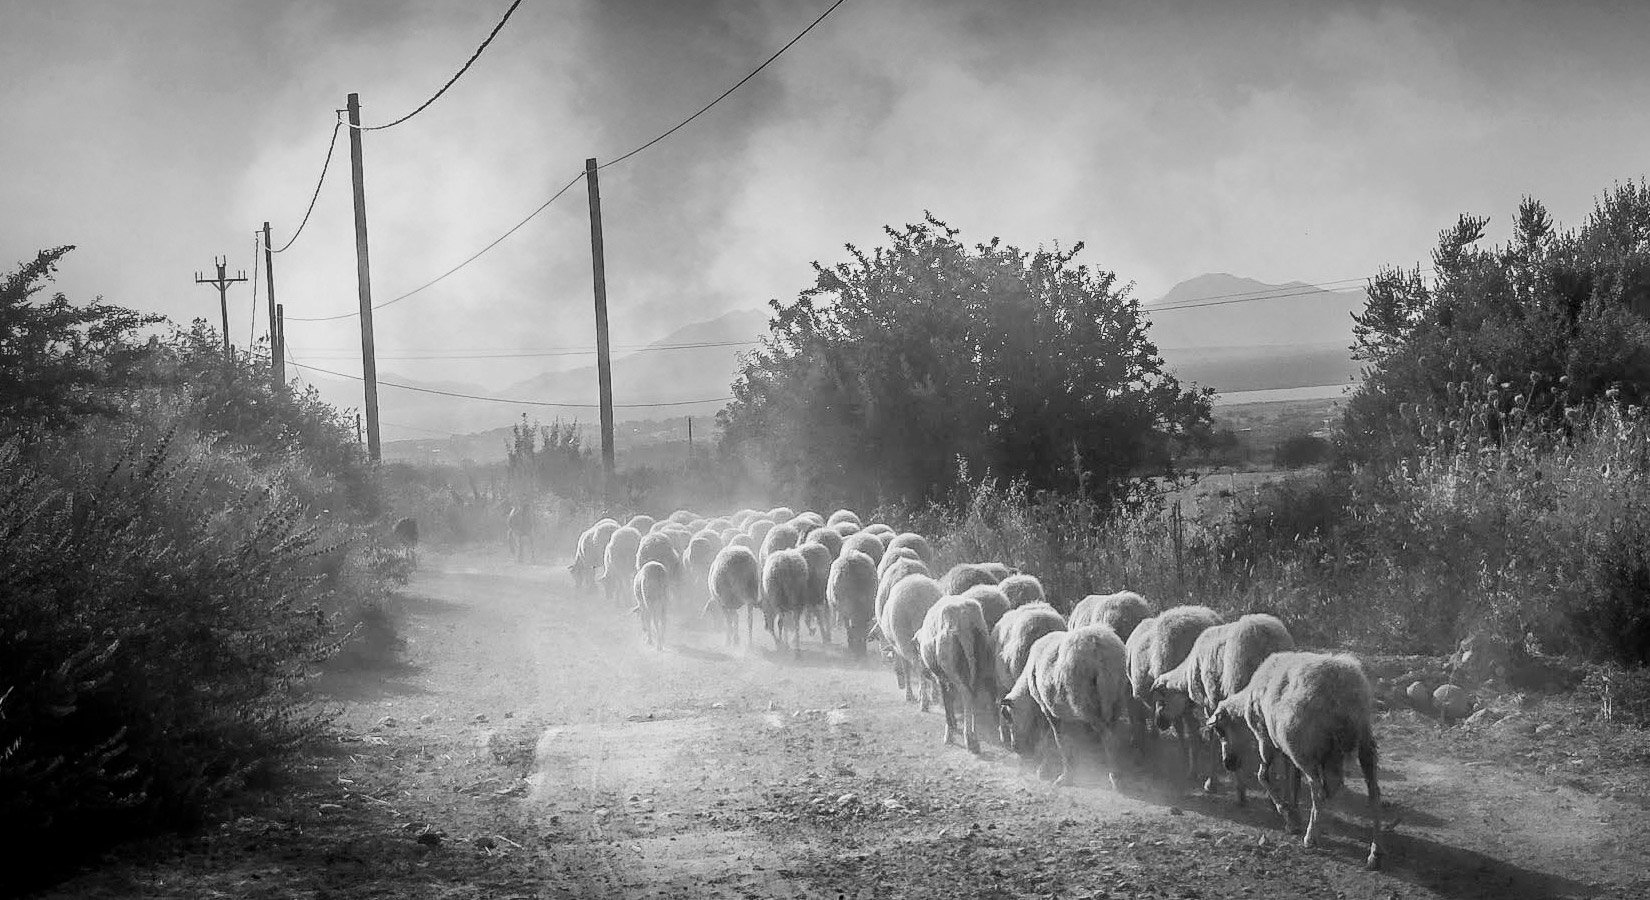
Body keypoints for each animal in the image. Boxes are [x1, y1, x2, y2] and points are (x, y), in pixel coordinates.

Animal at [877, 571, 943, 706]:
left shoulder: (898, 647)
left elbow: (906, 669)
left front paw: (910, 694)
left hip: (904, 639)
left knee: (919, 665)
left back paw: (924, 699)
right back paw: (934, 695)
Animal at [917, 597, 990, 749]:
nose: (922, 670)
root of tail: (964, 617)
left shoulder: (942, 678)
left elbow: (947, 701)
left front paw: (949, 733)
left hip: (950, 667)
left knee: (967, 694)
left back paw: (969, 738)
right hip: (979, 663)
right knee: (974, 694)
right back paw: (974, 737)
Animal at [996, 624, 1128, 786]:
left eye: (1009, 718)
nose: (1016, 748)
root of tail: (1098, 645)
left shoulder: (1046, 708)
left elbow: (1053, 739)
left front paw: (1048, 770)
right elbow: (1068, 740)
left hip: (1086, 703)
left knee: (1108, 737)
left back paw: (1114, 778)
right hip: (1116, 698)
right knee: (1115, 735)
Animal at [1155, 611, 1293, 799]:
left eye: (1162, 698)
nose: (1158, 722)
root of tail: (1267, 637)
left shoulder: (1211, 702)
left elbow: (1215, 738)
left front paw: (1211, 782)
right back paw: (1286, 795)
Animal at [1207, 650, 1386, 865]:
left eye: (1220, 730)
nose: (1228, 763)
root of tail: (1342, 690)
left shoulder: (1266, 739)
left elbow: (1263, 776)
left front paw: (1288, 815)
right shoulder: (1285, 749)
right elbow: (1293, 779)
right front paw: (1292, 810)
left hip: (1305, 749)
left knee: (1319, 790)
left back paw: (1310, 837)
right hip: (1363, 743)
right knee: (1372, 792)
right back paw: (1375, 852)